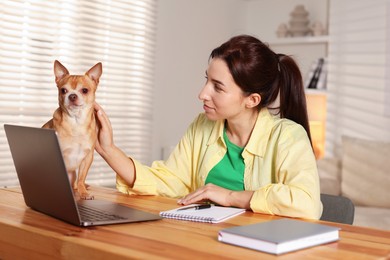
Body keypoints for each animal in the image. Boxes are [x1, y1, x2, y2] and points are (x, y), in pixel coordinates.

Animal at [42, 60, 102, 199]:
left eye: (84, 90)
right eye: (63, 90)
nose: (72, 96)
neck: (76, 122)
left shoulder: (88, 157)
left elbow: (81, 178)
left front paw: (83, 192)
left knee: (75, 182)